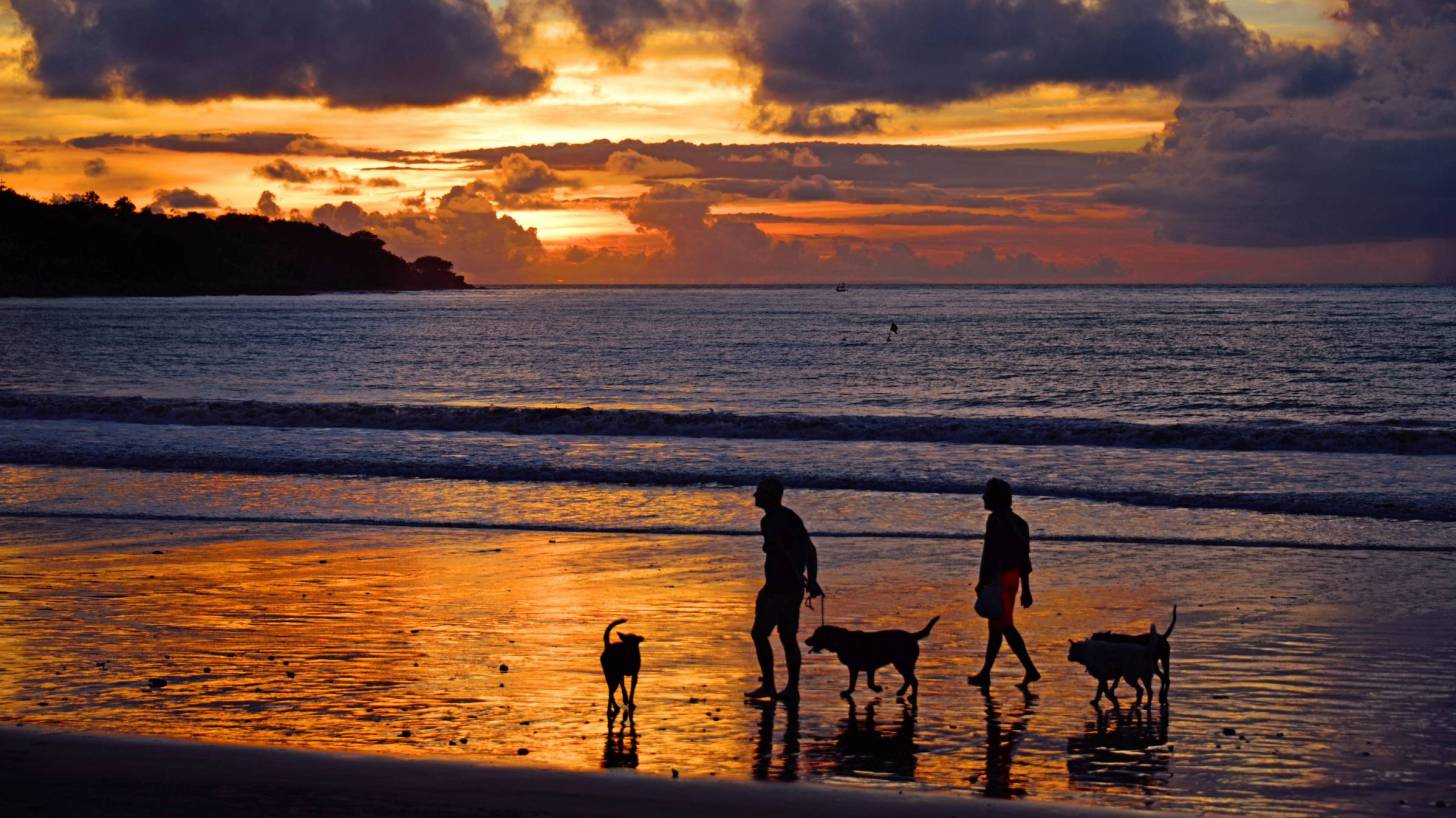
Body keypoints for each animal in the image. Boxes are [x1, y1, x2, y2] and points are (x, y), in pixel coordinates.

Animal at [803, 614, 937, 698]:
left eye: (816, 635)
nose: (805, 641)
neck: (842, 641)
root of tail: (912, 636)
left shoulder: (860, 667)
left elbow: (861, 683)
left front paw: (875, 689)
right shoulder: (865, 668)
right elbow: (864, 683)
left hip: (903, 663)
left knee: (913, 680)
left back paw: (911, 696)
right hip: (901, 664)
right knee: (909, 679)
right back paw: (902, 691)